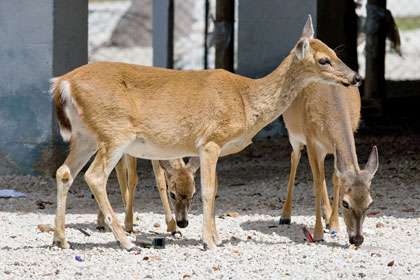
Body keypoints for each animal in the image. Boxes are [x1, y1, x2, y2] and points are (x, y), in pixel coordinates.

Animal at [50, 16, 360, 250]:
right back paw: (125, 241)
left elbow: (214, 188)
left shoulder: (212, 148)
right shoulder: (211, 140)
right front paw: (208, 242)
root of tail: (63, 83)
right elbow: (209, 191)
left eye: (336, 52)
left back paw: (60, 239)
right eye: (323, 60)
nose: (356, 77)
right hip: (115, 132)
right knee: (94, 176)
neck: (245, 100)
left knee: (64, 172)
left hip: (86, 135)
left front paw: (217, 238)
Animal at [278, 82, 380, 246]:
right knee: (295, 157)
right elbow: (317, 184)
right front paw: (318, 234)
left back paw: (327, 217)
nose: (357, 239)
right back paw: (285, 216)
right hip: (293, 134)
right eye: (345, 203)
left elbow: (335, 179)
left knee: (322, 171)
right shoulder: (311, 140)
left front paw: (334, 224)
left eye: (370, 203)